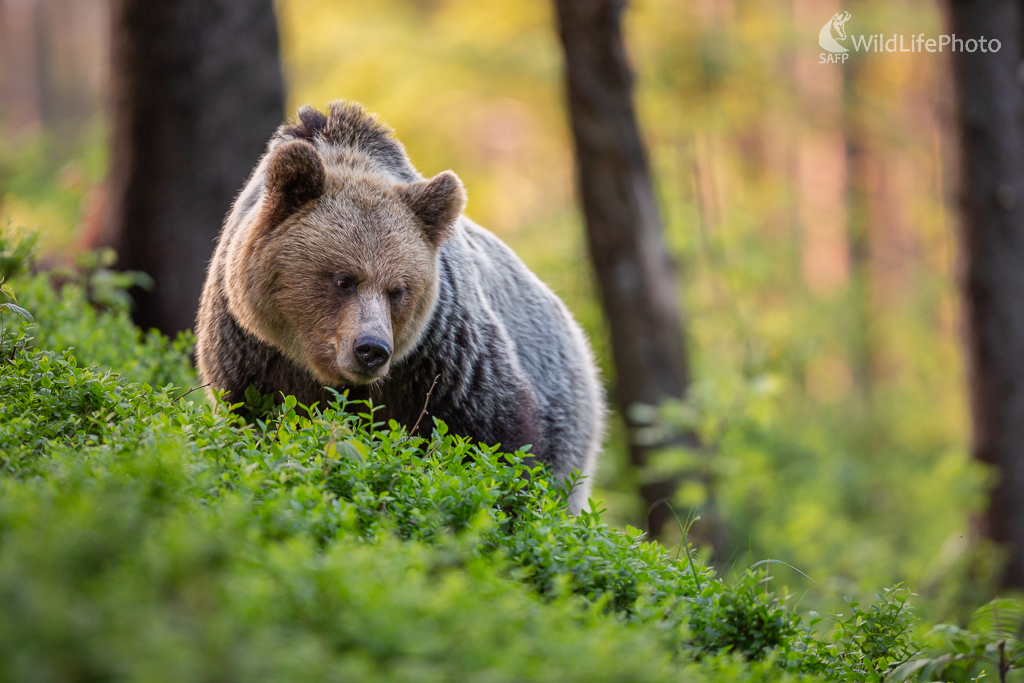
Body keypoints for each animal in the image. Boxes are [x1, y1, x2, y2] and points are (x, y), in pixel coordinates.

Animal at [195, 100, 602, 507]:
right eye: (343, 279)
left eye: (397, 290)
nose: (371, 349)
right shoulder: (253, 355)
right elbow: (254, 424)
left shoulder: (442, 361)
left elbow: (495, 444)